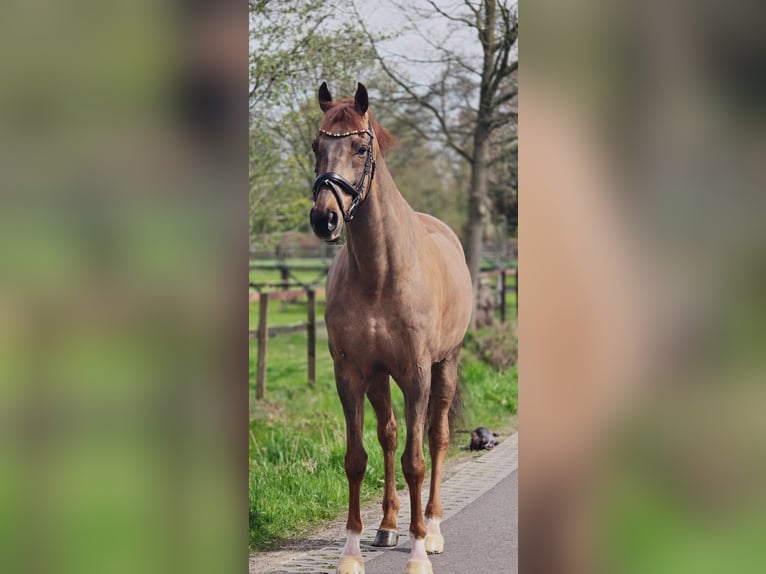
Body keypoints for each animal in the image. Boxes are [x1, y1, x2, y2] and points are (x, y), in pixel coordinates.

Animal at [309, 82, 473, 574]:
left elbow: (415, 461)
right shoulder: (350, 375)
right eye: (317, 146)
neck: (380, 274)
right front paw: (351, 552)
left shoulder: (417, 374)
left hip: (445, 366)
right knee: (389, 435)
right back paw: (386, 526)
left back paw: (432, 528)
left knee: (435, 438)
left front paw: (418, 553)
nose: (324, 219)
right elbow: (357, 458)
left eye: (361, 147)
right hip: (380, 378)